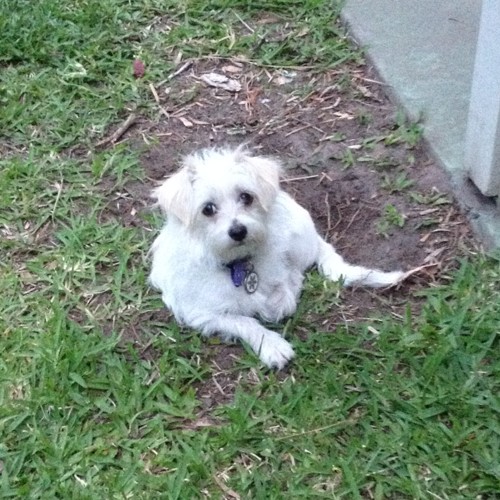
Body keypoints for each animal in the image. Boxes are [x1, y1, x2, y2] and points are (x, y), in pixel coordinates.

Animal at [149, 146, 405, 369]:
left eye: (246, 197)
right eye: (208, 209)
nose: (238, 231)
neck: (237, 263)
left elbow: (282, 295)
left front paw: (275, 303)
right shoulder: (202, 314)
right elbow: (244, 321)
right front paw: (272, 345)